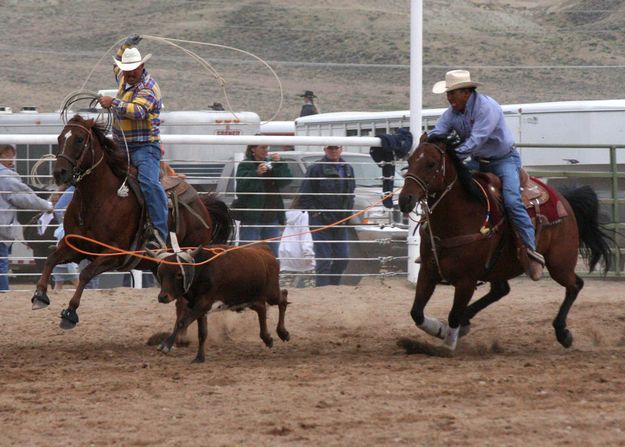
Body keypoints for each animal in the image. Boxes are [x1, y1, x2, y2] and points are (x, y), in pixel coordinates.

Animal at [31, 115, 233, 340]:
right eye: (59, 138)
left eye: (79, 139)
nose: (60, 172)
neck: (99, 199)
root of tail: (202, 205)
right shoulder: (75, 246)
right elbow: (51, 259)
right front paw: (40, 295)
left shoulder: (113, 255)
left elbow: (85, 274)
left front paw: (70, 313)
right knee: (179, 299)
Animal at [398, 133, 612, 354]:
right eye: (410, 161)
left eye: (431, 164)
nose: (405, 199)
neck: (457, 219)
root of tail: (565, 200)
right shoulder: (428, 271)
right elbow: (417, 312)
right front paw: (439, 330)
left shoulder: (466, 280)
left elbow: (453, 315)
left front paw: (447, 346)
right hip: (500, 266)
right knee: (500, 290)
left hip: (559, 263)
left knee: (575, 285)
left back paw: (563, 333)